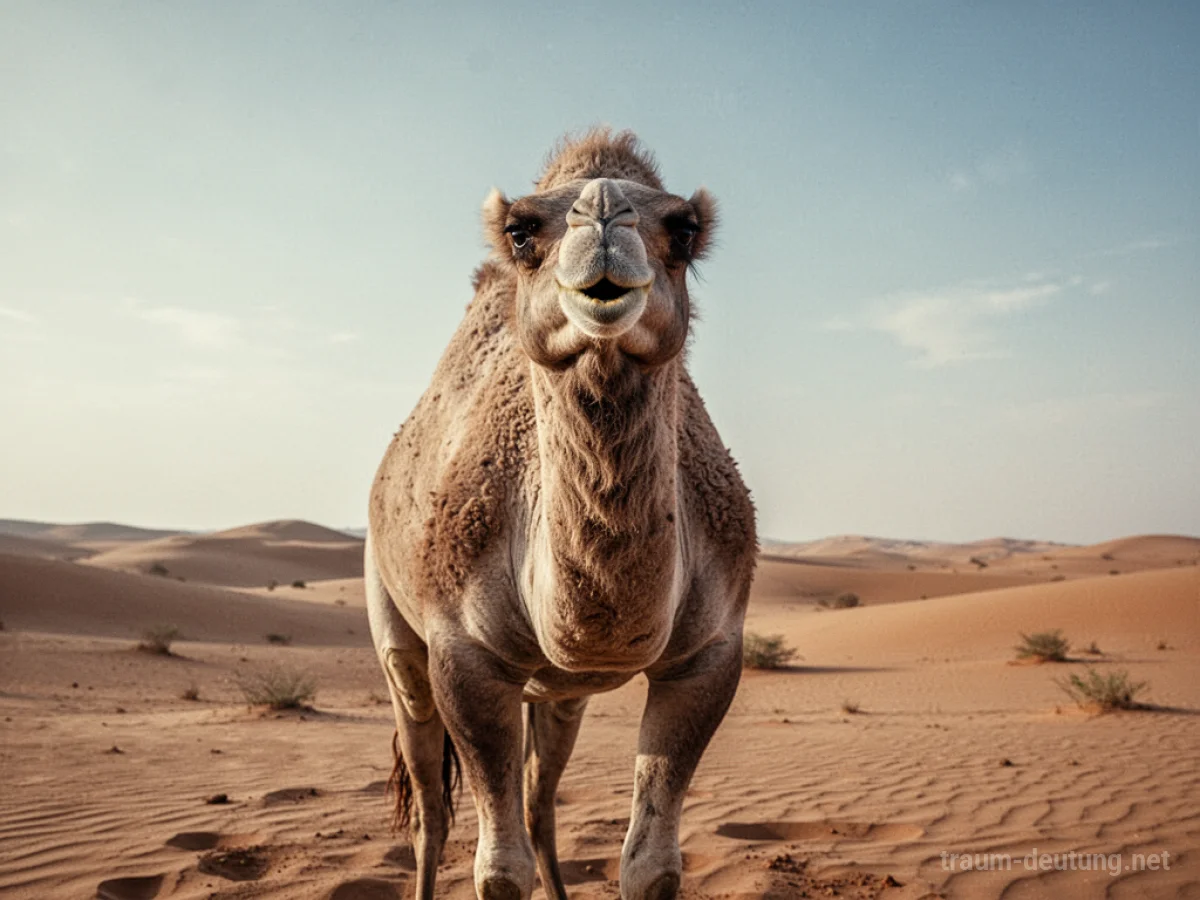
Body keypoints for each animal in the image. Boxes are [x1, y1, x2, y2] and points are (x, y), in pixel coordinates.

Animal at [366, 129, 756, 900]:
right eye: (522, 231)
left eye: (683, 229)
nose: (602, 215)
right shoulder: (464, 655)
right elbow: (498, 871)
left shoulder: (709, 655)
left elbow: (653, 866)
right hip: (395, 631)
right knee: (429, 804)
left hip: (561, 692)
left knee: (538, 800)